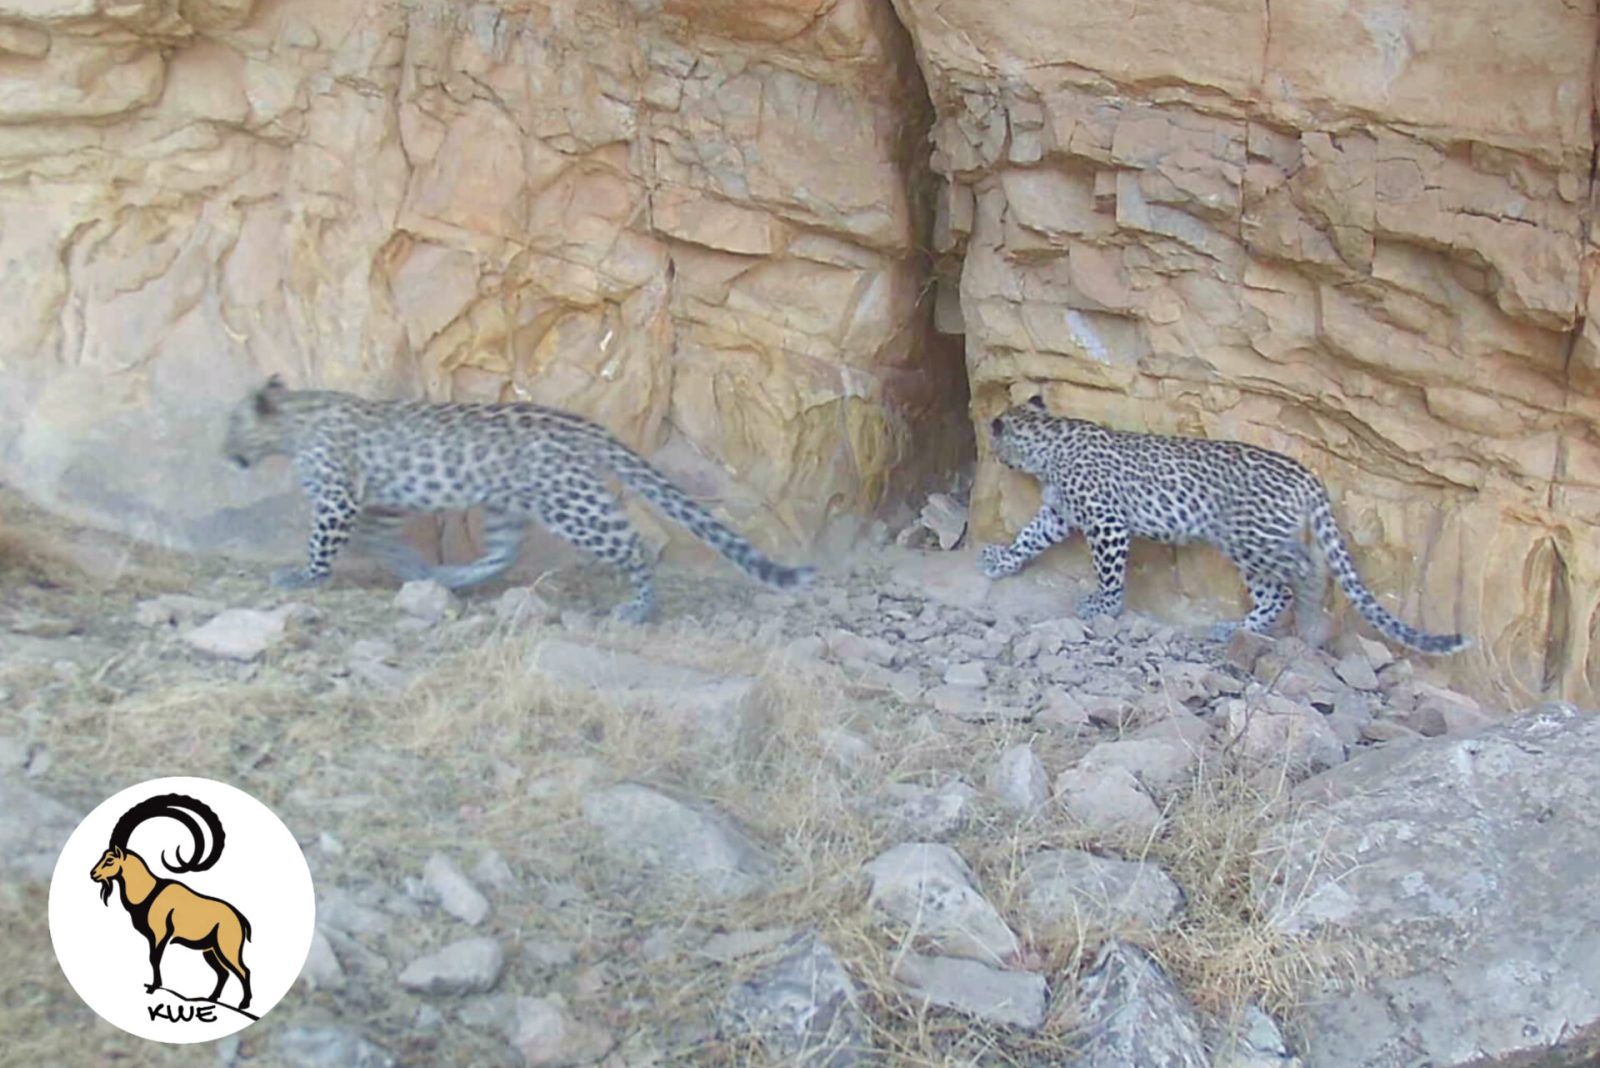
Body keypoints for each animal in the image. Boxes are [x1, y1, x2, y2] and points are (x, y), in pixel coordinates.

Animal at [222, 376, 815, 622]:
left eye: (232, 426)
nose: (225, 453)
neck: (294, 422)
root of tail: (584, 427)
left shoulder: (338, 499)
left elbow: (324, 544)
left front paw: (302, 577)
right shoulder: (380, 500)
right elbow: (381, 537)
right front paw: (414, 567)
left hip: (572, 504)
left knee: (635, 545)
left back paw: (640, 608)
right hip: (507, 505)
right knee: (502, 553)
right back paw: (453, 579)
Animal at [978, 396, 1469, 655]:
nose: (995, 456)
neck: (1049, 441)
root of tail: (1308, 477)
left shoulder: (1106, 521)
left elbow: (1108, 571)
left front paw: (1104, 605)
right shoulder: (1060, 514)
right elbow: (1029, 537)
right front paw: (1001, 561)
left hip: (1252, 538)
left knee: (1305, 571)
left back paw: (1306, 617)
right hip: (1250, 548)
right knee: (1276, 592)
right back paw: (1237, 629)